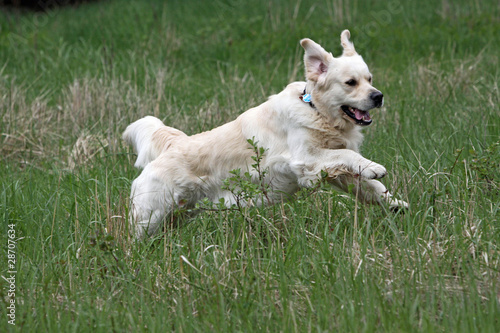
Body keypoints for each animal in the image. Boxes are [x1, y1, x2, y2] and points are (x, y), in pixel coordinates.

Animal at [123, 30, 408, 239]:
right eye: (351, 83)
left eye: (370, 79)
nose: (378, 96)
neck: (316, 109)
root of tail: (171, 146)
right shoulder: (306, 159)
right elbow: (349, 155)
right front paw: (374, 167)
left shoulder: (336, 172)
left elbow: (370, 187)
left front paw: (395, 203)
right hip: (150, 216)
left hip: (179, 214)